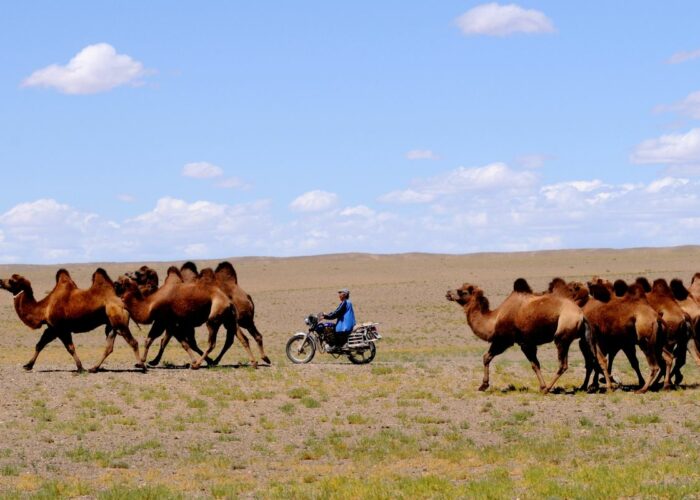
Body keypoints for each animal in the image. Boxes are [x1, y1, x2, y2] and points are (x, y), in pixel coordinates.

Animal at [0, 270, 142, 372]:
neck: (43, 308)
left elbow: (70, 348)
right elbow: (40, 344)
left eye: (12, 280)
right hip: (111, 325)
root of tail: (123, 303)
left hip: (119, 321)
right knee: (109, 347)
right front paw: (28, 365)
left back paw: (142, 366)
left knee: (133, 342)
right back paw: (94, 368)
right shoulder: (52, 328)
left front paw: (80, 368)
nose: (1, 281)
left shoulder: (60, 328)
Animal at [446, 280, 588, 392]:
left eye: (462, 291)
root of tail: (580, 314)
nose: (448, 293)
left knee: (563, 364)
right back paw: (585, 387)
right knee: (589, 361)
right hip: (579, 338)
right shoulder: (525, 343)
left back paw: (549, 388)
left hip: (562, 337)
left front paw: (483, 385)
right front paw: (483, 385)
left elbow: (533, 364)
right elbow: (534, 364)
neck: (493, 321)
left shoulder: (508, 341)